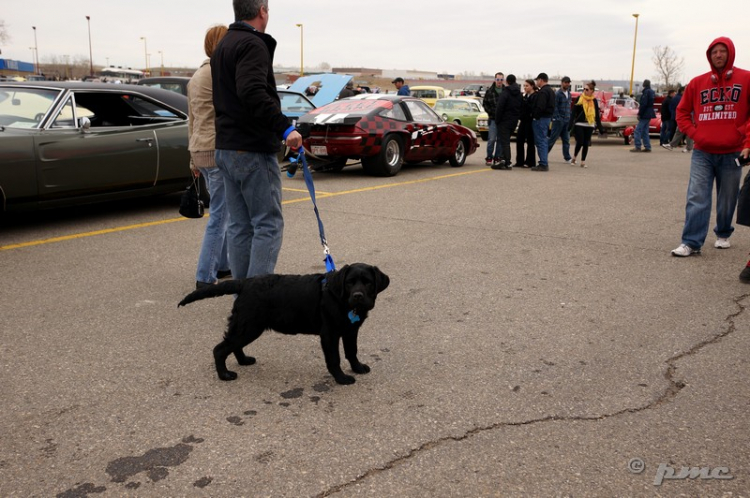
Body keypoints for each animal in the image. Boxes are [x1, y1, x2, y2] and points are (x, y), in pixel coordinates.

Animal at [179, 264, 390, 386]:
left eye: (368, 283)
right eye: (349, 283)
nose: (358, 296)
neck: (340, 299)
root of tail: (244, 283)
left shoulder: (350, 331)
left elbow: (352, 352)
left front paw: (358, 368)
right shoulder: (329, 334)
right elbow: (334, 359)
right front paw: (342, 378)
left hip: (246, 326)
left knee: (233, 345)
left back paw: (244, 360)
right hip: (249, 326)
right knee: (220, 349)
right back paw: (224, 375)